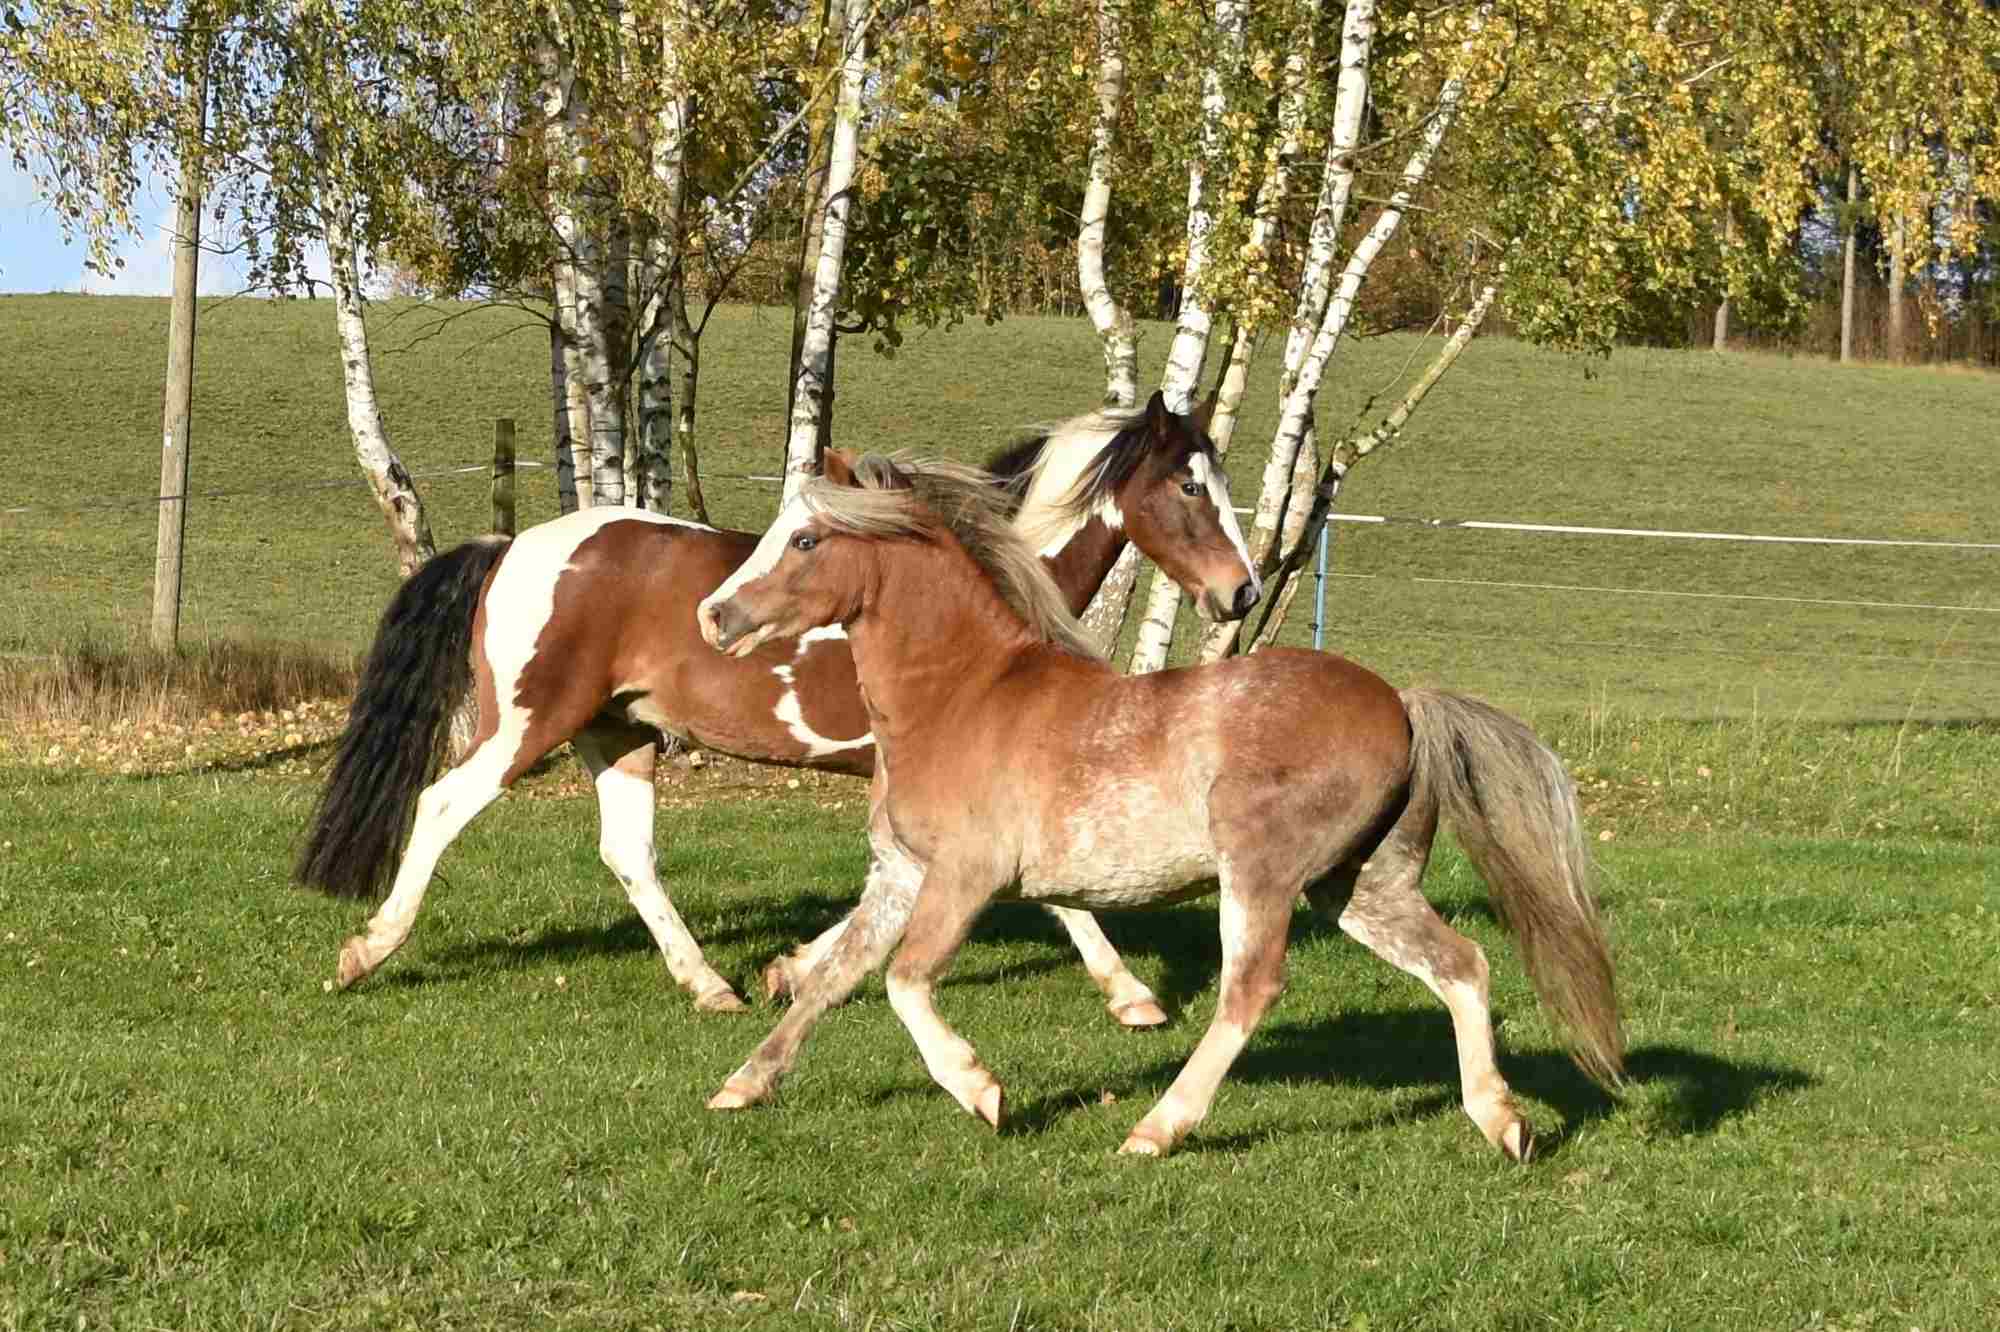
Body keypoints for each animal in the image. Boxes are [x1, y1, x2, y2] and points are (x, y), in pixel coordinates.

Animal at [296, 392, 1260, 1018]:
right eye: (1188, 486)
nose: (1243, 591)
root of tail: (509, 545)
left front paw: (788, 969)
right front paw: (1133, 997)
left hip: (621, 734)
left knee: (627, 854)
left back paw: (711, 987)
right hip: (529, 725)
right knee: (440, 805)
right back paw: (365, 953)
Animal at [695, 456, 1624, 1161]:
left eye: (806, 539)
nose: (714, 616)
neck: (960, 696)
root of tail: (1401, 703)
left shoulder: (967, 876)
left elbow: (904, 981)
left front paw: (983, 1092)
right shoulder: (898, 874)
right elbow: (832, 980)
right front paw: (741, 1084)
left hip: (1260, 873)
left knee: (1250, 990)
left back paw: (1156, 1129)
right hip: (1362, 886)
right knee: (1462, 964)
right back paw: (1504, 1123)